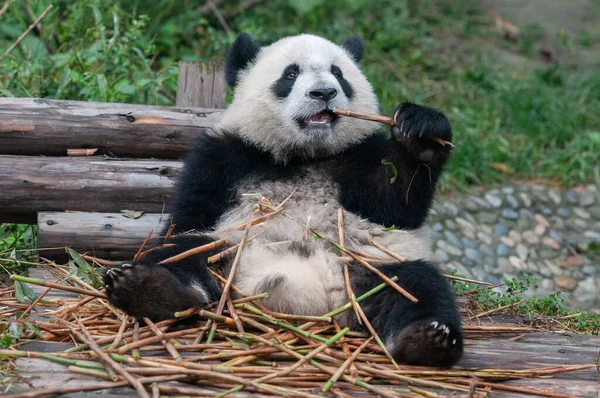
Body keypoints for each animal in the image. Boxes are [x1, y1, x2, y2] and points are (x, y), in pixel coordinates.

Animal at [105, 32, 464, 368]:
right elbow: (188, 218)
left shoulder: (357, 155)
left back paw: (426, 340)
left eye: (338, 73)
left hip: (366, 265)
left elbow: (395, 206)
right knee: (184, 253)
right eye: (290, 74)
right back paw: (148, 289)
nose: (324, 93)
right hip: (233, 256)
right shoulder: (224, 157)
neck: (303, 154)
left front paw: (422, 133)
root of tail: (313, 300)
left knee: (417, 285)